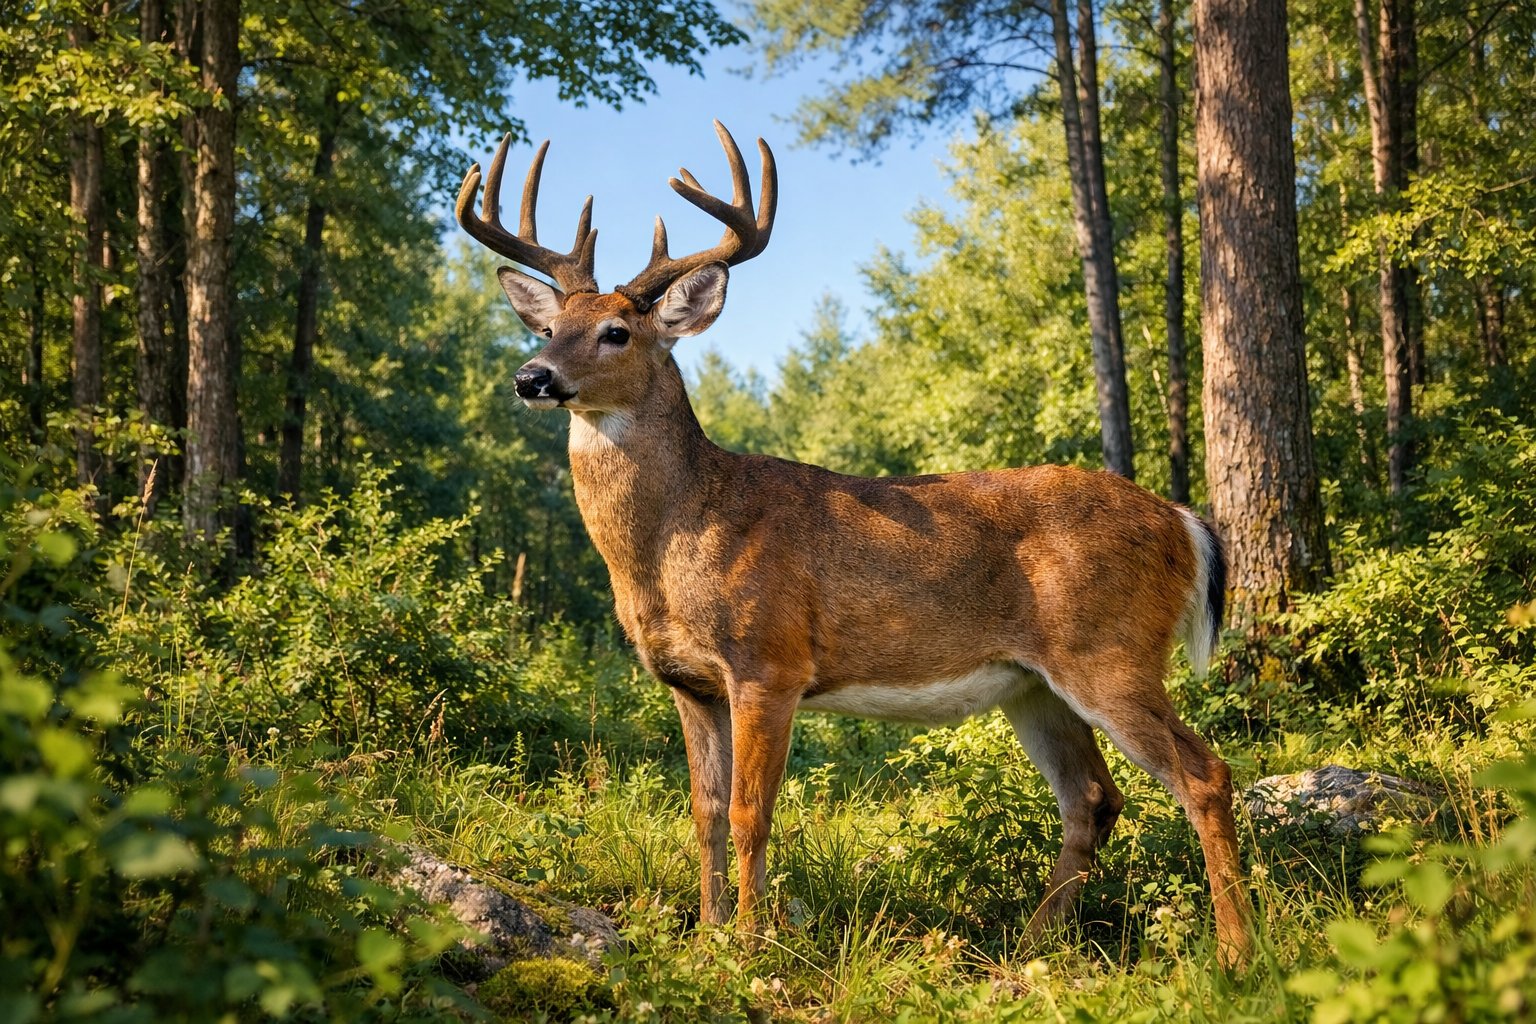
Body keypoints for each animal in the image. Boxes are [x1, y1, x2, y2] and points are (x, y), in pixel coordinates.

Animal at [455, 122, 1254, 967]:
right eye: (548, 328)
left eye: (617, 332)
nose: (532, 376)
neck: (677, 541)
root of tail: (1184, 522)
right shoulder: (688, 682)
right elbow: (704, 811)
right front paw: (706, 938)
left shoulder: (769, 662)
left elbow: (750, 813)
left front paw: (750, 946)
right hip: (1034, 684)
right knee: (1094, 799)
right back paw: (1029, 946)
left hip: (1109, 649)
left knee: (1204, 774)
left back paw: (1236, 951)